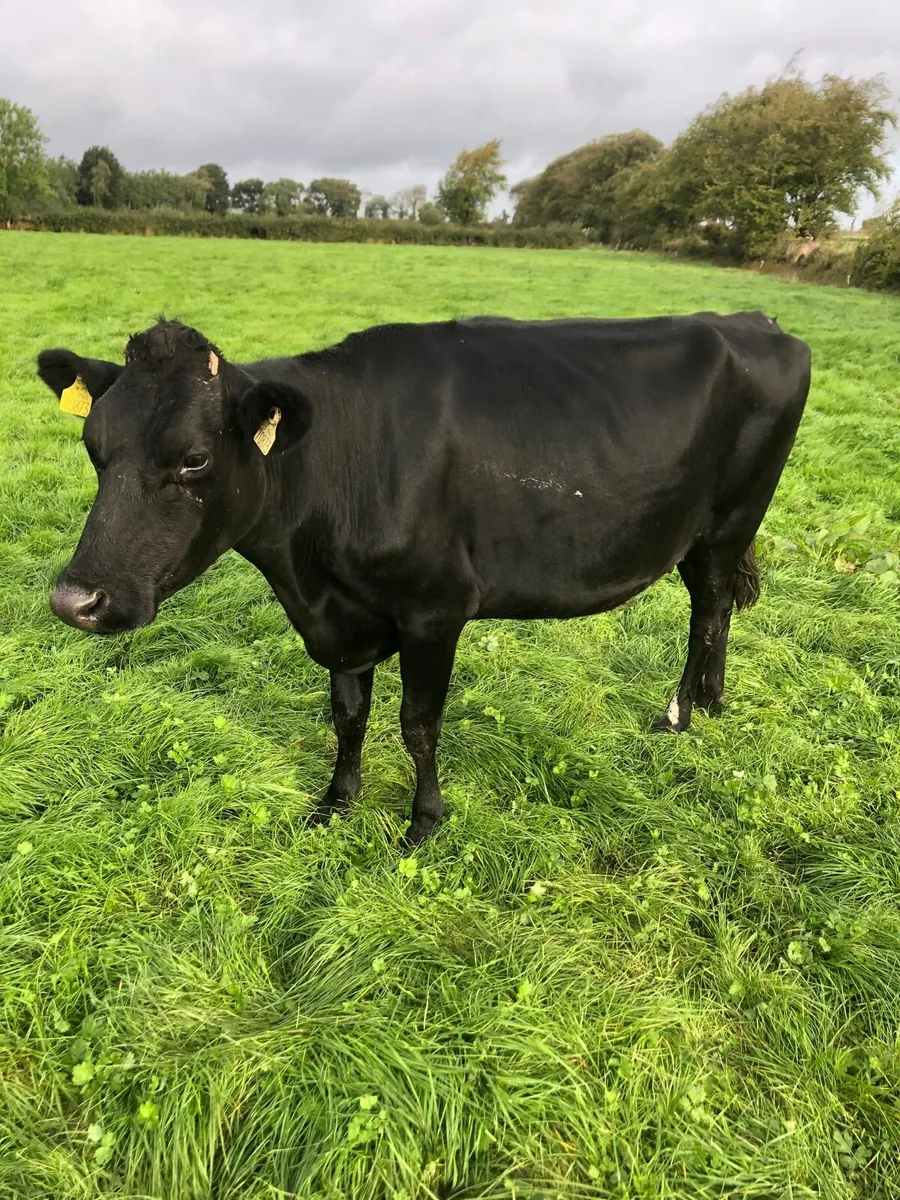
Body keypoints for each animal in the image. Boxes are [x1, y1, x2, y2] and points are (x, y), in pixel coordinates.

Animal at [37, 312, 811, 844]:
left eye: (194, 459)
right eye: (93, 445)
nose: (75, 600)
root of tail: (756, 321)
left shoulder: (435, 609)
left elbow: (418, 723)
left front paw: (423, 820)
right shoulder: (343, 621)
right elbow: (348, 714)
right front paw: (336, 801)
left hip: (729, 522)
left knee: (707, 610)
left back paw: (679, 715)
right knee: (719, 608)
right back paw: (712, 700)